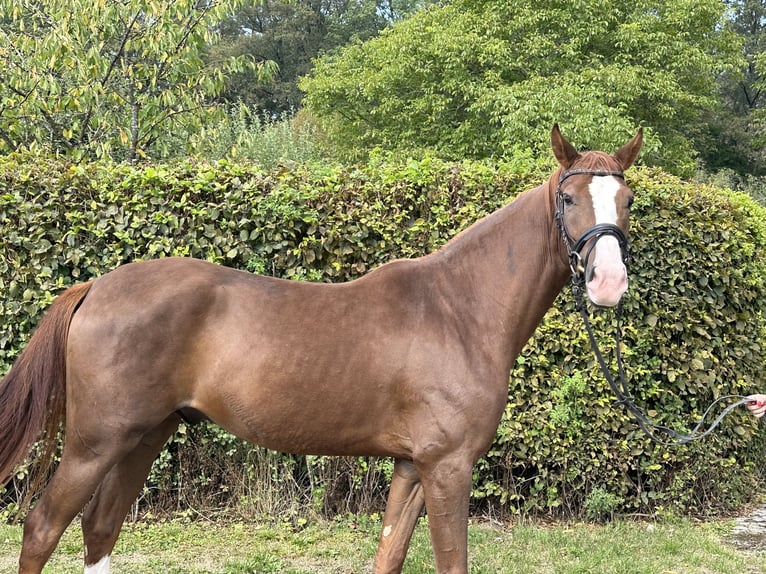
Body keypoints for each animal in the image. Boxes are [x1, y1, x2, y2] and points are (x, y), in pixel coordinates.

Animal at [0, 127, 640, 574]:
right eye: (568, 198)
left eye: (628, 199)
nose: (609, 282)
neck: (459, 308)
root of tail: (94, 288)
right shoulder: (447, 467)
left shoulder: (412, 467)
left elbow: (388, 556)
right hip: (96, 442)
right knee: (41, 529)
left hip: (144, 436)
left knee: (99, 529)